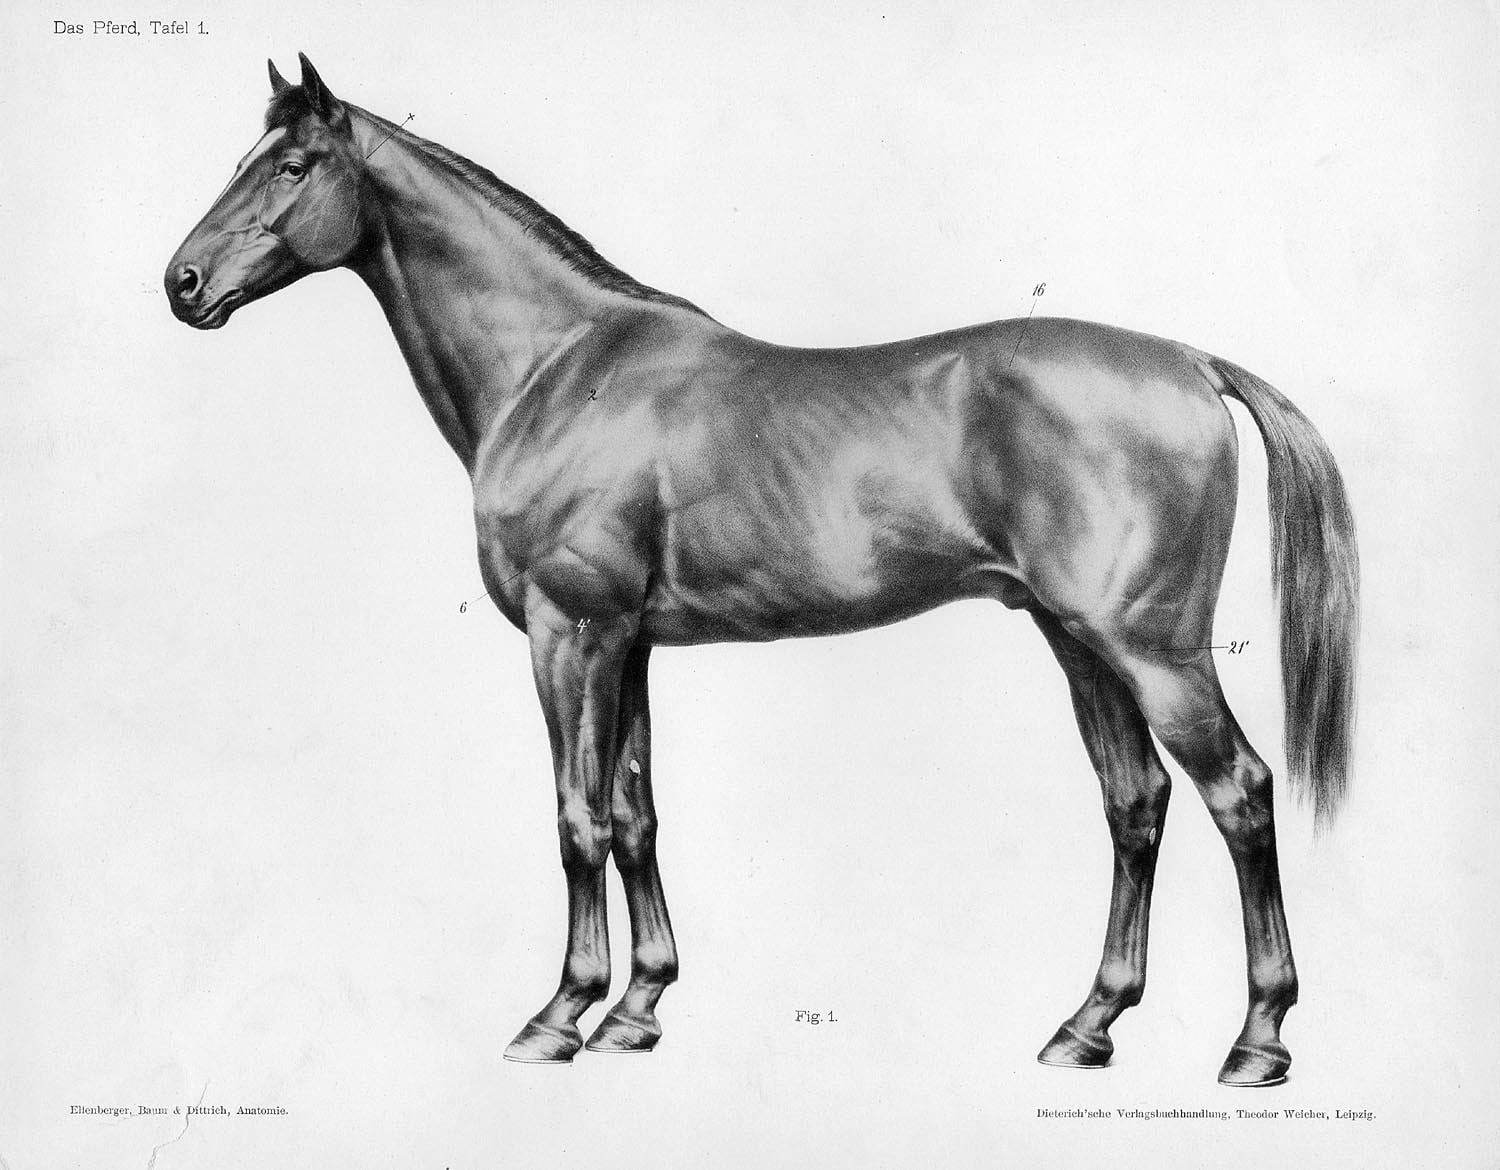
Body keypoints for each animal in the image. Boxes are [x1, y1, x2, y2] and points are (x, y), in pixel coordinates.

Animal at [164, 55, 1358, 1085]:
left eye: (291, 165)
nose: (182, 282)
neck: (559, 371)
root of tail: (1189, 363)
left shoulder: (570, 634)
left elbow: (576, 819)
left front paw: (560, 1015)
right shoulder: (629, 644)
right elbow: (635, 814)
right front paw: (637, 1010)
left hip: (1153, 651)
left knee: (1240, 793)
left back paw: (1257, 1042)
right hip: (1077, 643)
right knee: (1136, 804)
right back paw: (1087, 1025)